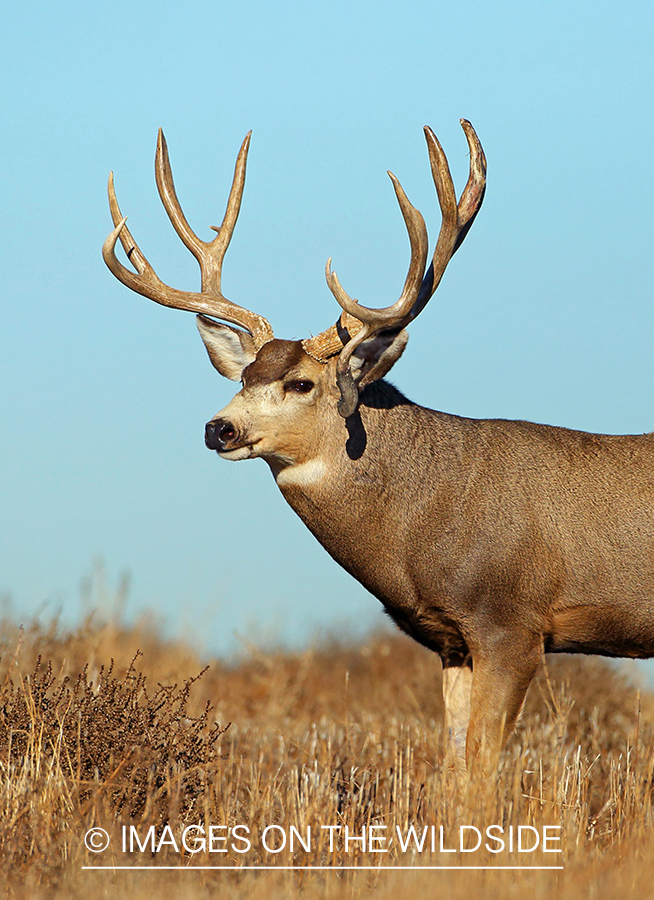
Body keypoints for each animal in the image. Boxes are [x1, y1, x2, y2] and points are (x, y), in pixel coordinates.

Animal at [103, 121, 654, 773]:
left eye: (300, 383)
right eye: (243, 377)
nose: (219, 428)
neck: (426, 518)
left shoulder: (511, 623)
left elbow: (482, 765)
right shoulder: (452, 641)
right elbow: (454, 764)